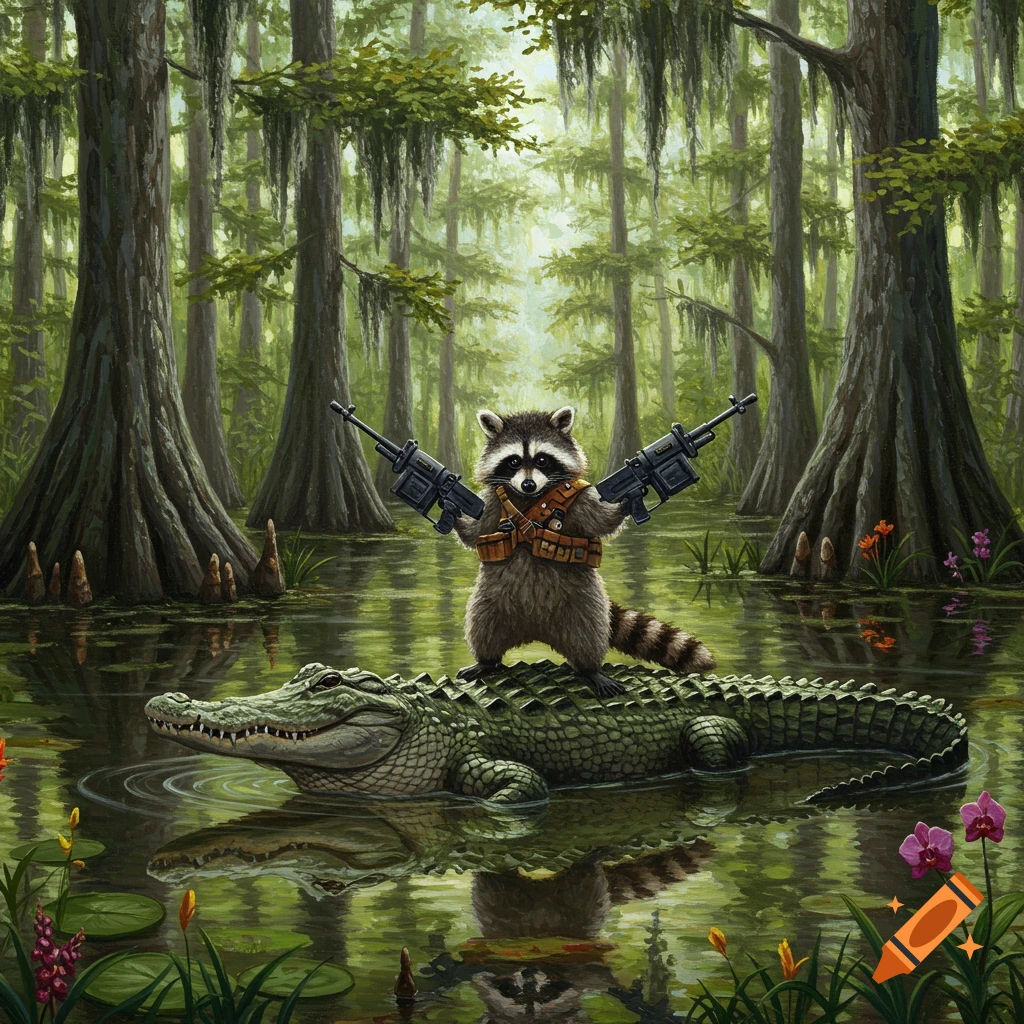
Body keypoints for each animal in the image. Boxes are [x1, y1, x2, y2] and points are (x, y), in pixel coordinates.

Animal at [452, 405, 715, 697]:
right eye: (513, 462)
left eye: (542, 460)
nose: (528, 485)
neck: (533, 499)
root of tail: (536, 631)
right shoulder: (492, 501)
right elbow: (476, 532)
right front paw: (452, 514)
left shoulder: (579, 496)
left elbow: (600, 521)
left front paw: (628, 501)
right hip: (492, 598)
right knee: (482, 625)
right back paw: (486, 661)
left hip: (583, 599)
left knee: (588, 634)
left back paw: (591, 669)